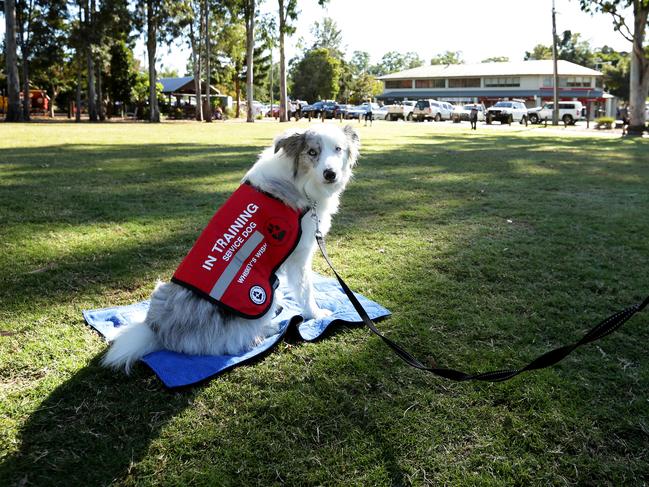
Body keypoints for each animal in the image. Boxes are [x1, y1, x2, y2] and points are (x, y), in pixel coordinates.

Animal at [101, 124, 360, 372]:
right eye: (312, 152)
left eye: (338, 149)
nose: (330, 174)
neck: (300, 180)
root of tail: (157, 330)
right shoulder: (300, 255)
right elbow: (306, 290)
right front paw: (316, 315)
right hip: (263, 291)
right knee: (238, 340)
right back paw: (273, 327)